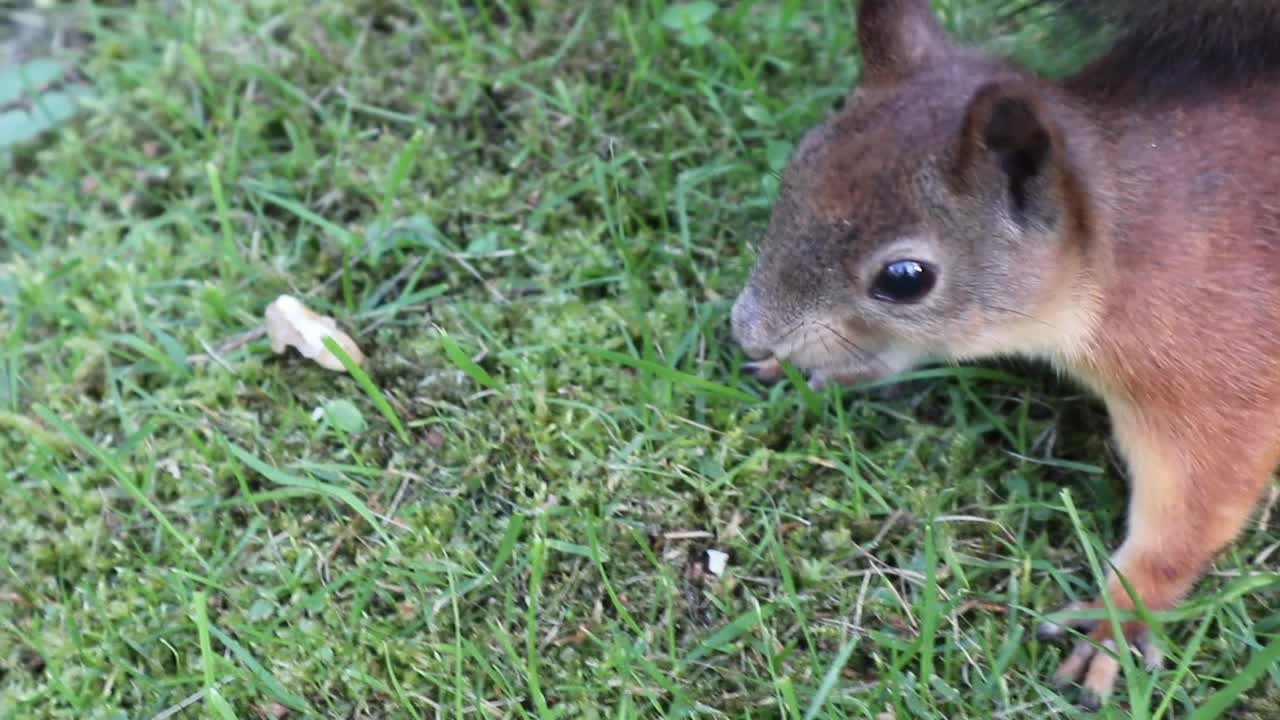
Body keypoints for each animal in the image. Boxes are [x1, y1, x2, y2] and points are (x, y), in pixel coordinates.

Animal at [732, 0, 1280, 707]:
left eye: (904, 279)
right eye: (799, 167)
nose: (747, 330)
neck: (1123, 251)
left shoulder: (1218, 371)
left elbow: (1194, 507)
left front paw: (1118, 617)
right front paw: (835, 361)